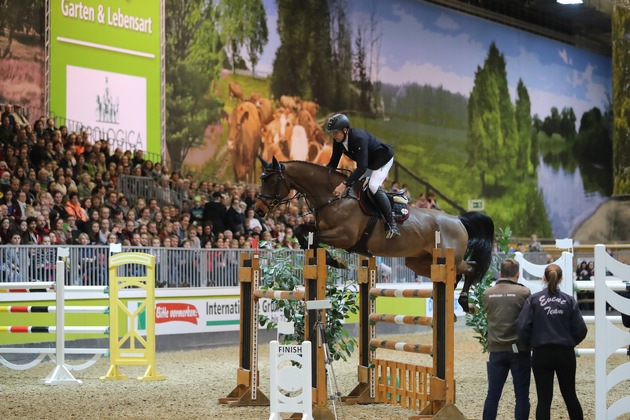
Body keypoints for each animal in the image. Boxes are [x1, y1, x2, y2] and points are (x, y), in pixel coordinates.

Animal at [254, 158, 496, 312]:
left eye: (271, 180)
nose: (258, 210)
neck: (334, 198)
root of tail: (458, 220)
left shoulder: (345, 236)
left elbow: (315, 238)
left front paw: (337, 261)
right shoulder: (319, 228)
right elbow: (301, 231)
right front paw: (330, 259)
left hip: (448, 256)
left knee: (470, 267)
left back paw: (464, 302)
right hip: (419, 262)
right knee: (455, 274)